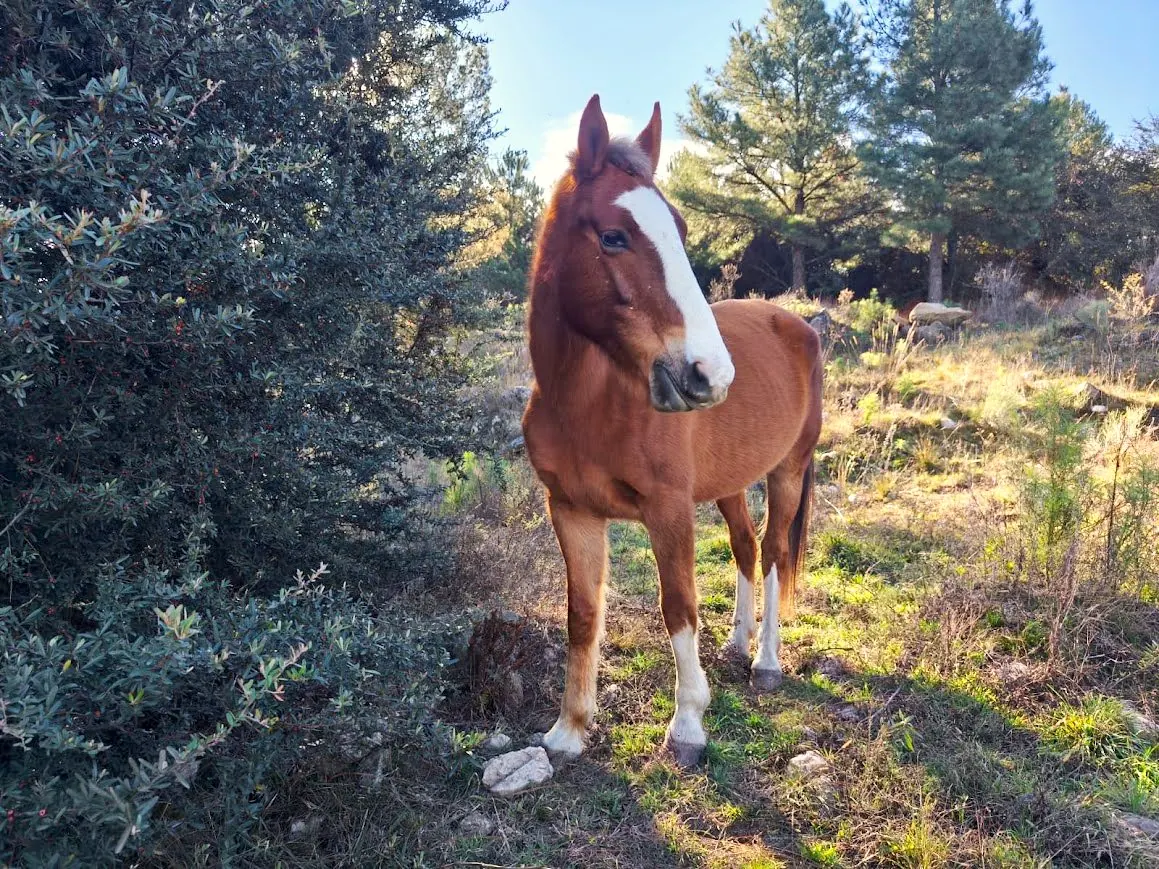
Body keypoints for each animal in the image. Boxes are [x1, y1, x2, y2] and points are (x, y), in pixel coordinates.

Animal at [521, 95, 823, 768]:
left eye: (681, 232)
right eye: (613, 236)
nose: (710, 374)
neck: (591, 404)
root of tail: (798, 324)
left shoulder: (669, 511)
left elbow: (678, 607)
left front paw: (687, 725)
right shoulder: (572, 510)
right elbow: (583, 613)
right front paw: (568, 730)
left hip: (787, 472)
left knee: (773, 553)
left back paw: (766, 661)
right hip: (730, 484)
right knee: (746, 546)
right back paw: (738, 644)